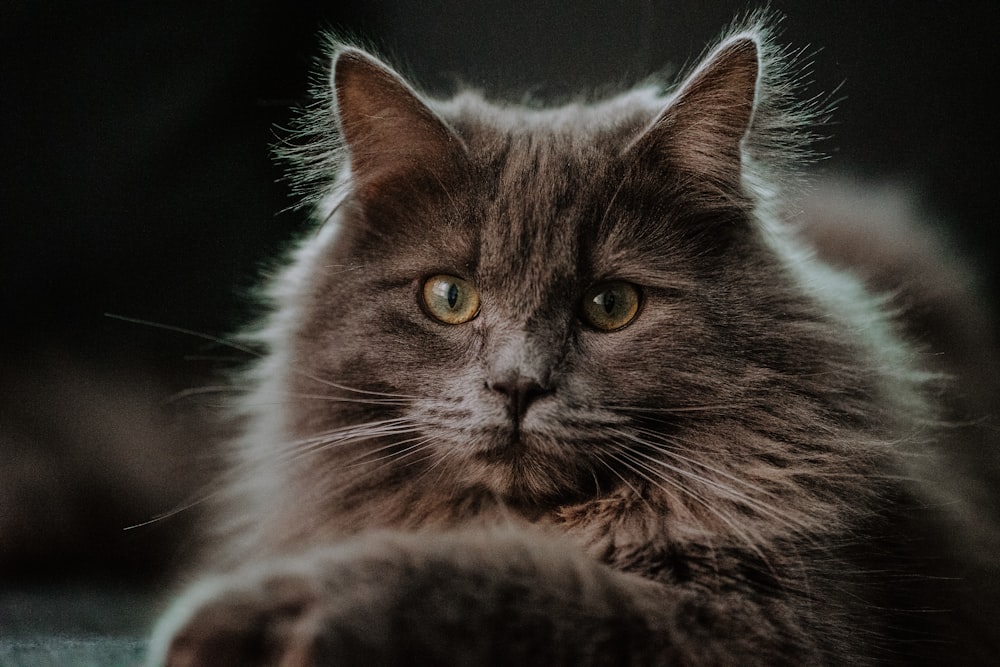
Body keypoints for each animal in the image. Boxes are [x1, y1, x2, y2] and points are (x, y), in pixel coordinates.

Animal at [146, 13, 1000, 664]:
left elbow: (517, 584)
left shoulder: (777, 621)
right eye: (449, 297)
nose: (517, 385)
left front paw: (268, 616)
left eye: (612, 304)